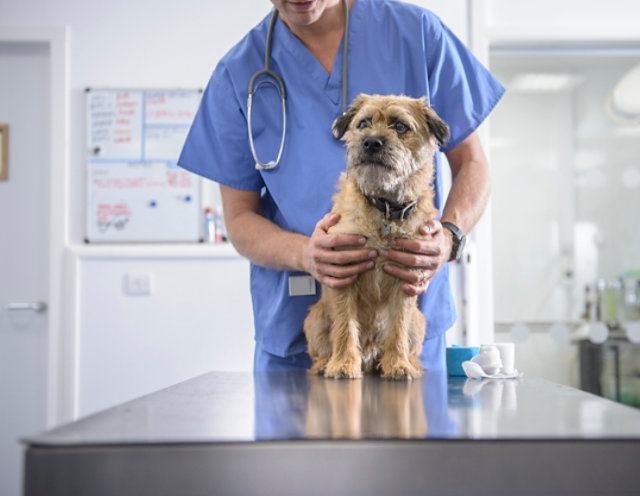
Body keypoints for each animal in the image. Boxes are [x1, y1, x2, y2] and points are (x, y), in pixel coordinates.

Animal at [304, 94, 450, 380]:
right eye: (363, 123)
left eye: (400, 126)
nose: (371, 142)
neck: (385, 209)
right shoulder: (344, 273)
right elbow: (345, 326)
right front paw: (343, 364)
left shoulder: (406, 278)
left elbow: (398, 327)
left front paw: (398, 364)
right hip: (314, 319)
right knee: (320, 350)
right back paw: (325, 364)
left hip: (419, 322)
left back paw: (408, 363)